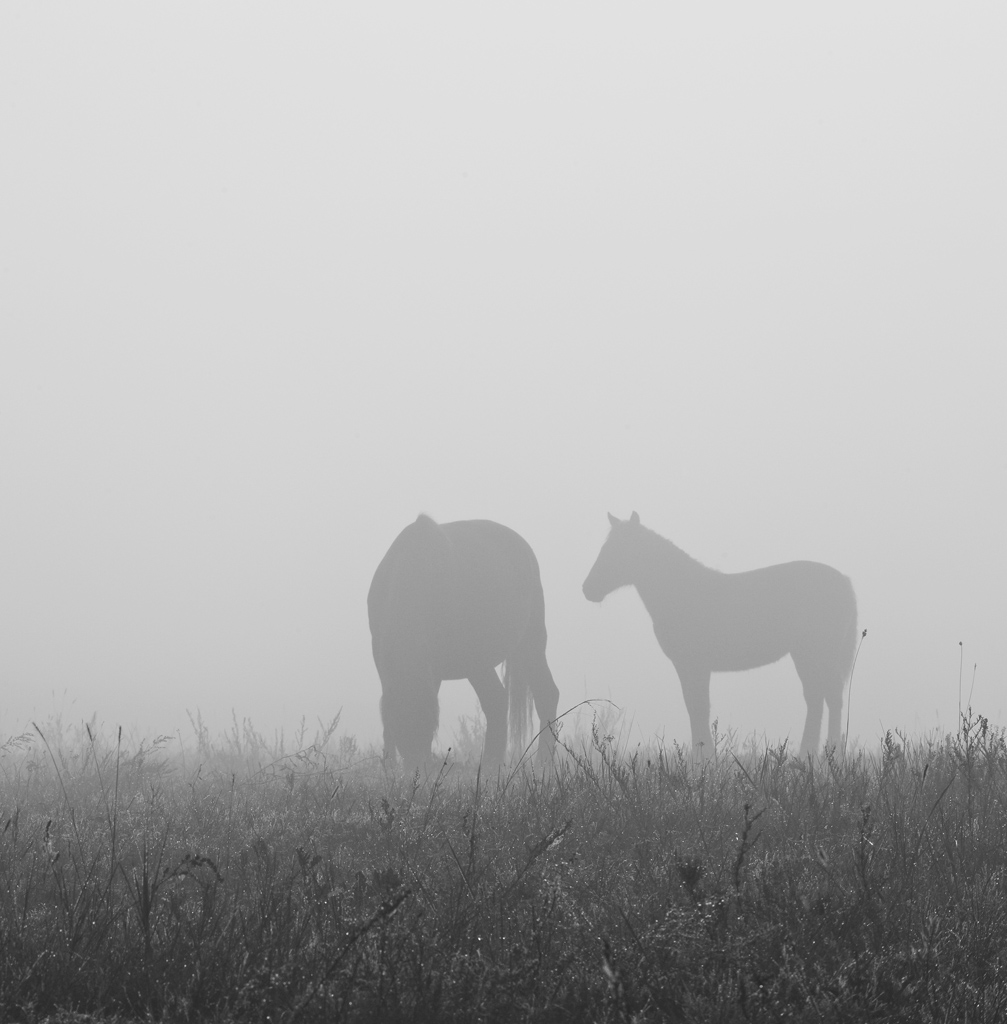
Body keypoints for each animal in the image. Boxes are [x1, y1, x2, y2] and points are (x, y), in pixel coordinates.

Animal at [368, 516, 561, 770]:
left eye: (429, 727)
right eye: (401, 725)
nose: (417, 768)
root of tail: (525, 551)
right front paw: (387, 764)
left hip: (527, 644)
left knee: (541, 694)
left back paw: (539, 763)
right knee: (498, 701)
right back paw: (492, 764)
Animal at [581, 509, 856, 753]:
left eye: (620, 550)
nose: (587, 588)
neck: (681, 591)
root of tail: (843, 580)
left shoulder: (693, 666)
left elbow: (698, 708)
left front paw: (702, 758)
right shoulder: (692, 667)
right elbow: (697, 709)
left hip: (814, 655)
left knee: (826, 699)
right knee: (820, 699)